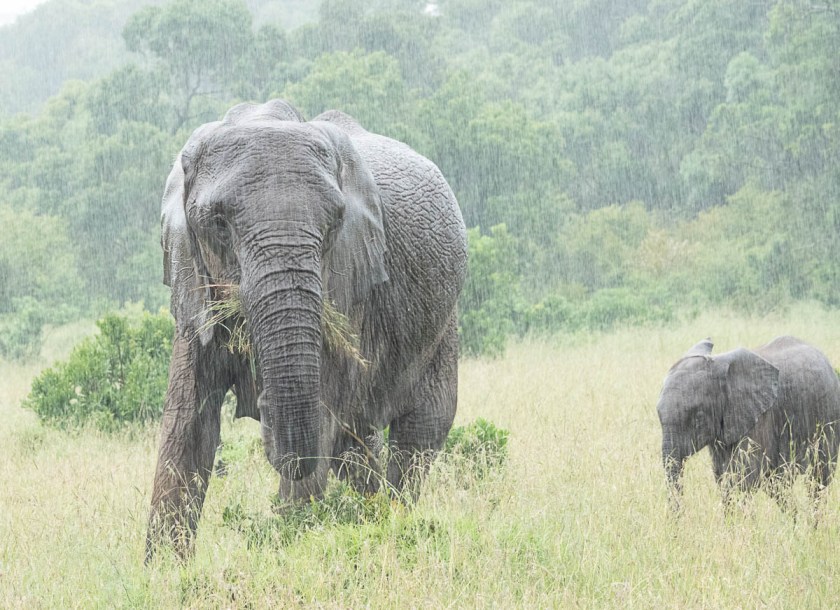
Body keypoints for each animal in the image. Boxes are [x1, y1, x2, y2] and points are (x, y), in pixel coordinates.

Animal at [145, 99, 467, 560]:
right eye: (218, 223)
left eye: (335, 223)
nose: (261, 404)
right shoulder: (194, 286)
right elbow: (186, 425)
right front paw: (166, 572)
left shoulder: (348, 286)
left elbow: (321, 419)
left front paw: (290, 552)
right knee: (358, 446)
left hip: (444, 323)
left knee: (418, 433)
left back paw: (392, 518)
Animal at [657, 336, 840, 512]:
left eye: (698, 418)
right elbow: (722, 475)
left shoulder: (761, 417)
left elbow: (743, 475)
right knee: (778, 485)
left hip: (828, 419)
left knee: (818, 479)